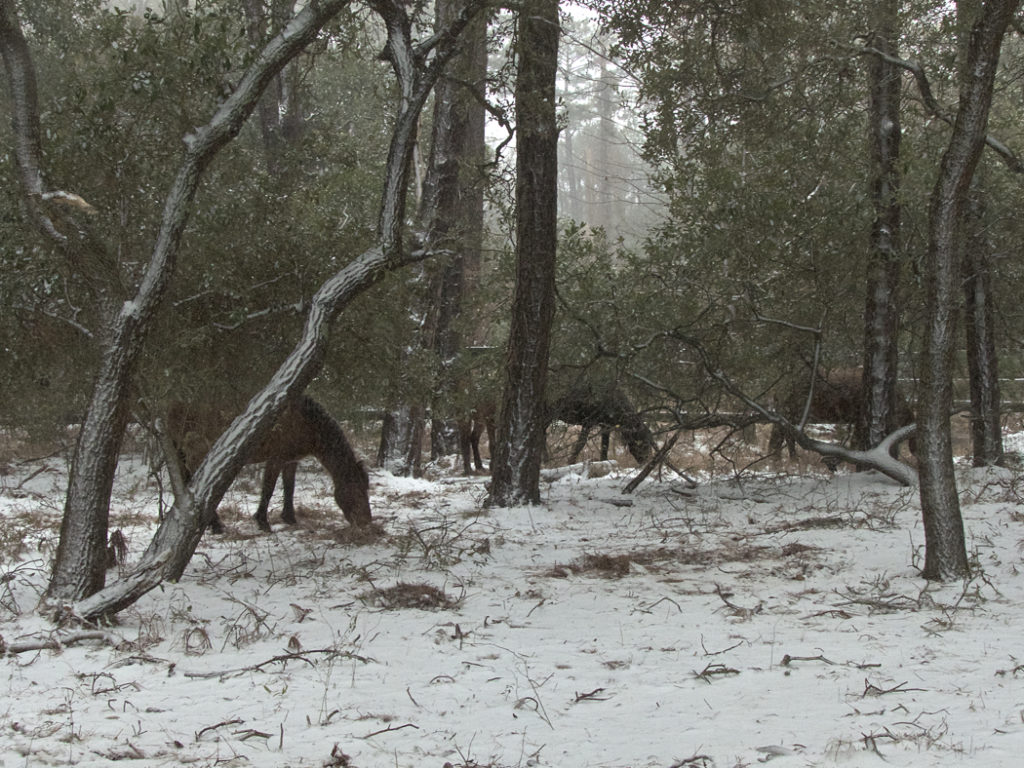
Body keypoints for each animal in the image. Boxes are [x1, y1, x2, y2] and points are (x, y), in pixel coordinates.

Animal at [167, 399, 372, 532]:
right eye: (357, 490)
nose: (366, 521)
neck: (305, 422)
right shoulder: (276, 458)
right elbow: (268, 489)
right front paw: (263, 522)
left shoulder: (291, 460)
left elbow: (289, 487)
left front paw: (289, 518)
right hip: (198, 452)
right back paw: (216, 525)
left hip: (180, 452)